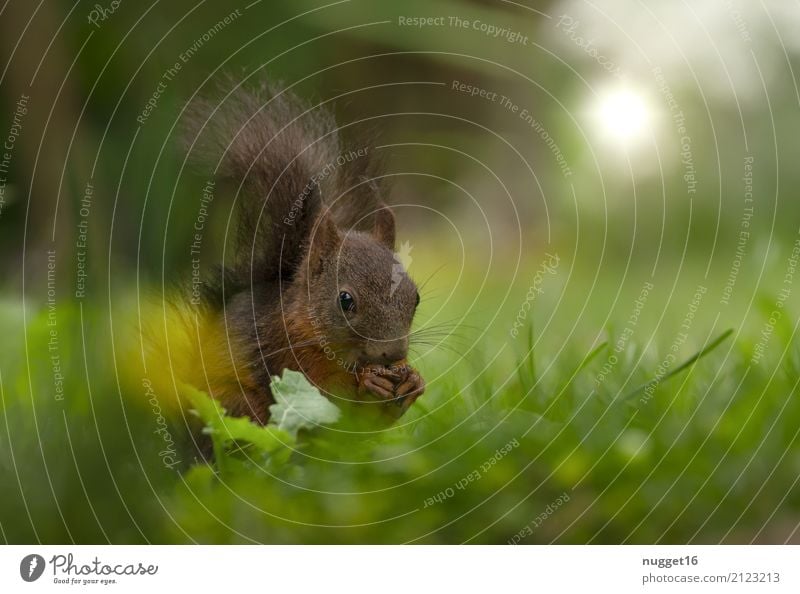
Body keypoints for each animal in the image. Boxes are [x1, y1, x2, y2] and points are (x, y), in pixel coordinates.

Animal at [159, 80, 424, 430]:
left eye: (416, 297)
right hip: (236, 407)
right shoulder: (285, 353)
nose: (392, 354)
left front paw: (414, 381)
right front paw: (368, 381)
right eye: (345, 300)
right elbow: (325, 394)